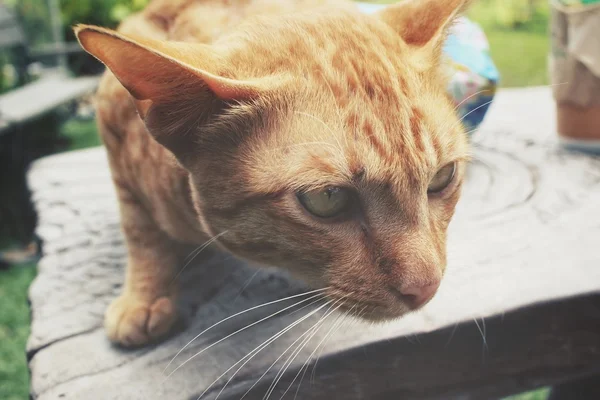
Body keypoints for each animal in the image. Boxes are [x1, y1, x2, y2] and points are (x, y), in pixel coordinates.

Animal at [75, 0, 472, 346]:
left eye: (442, 177)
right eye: (327, 199)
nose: (425, 287)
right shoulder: (113, 133)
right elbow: (141, 232)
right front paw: (144, 296)